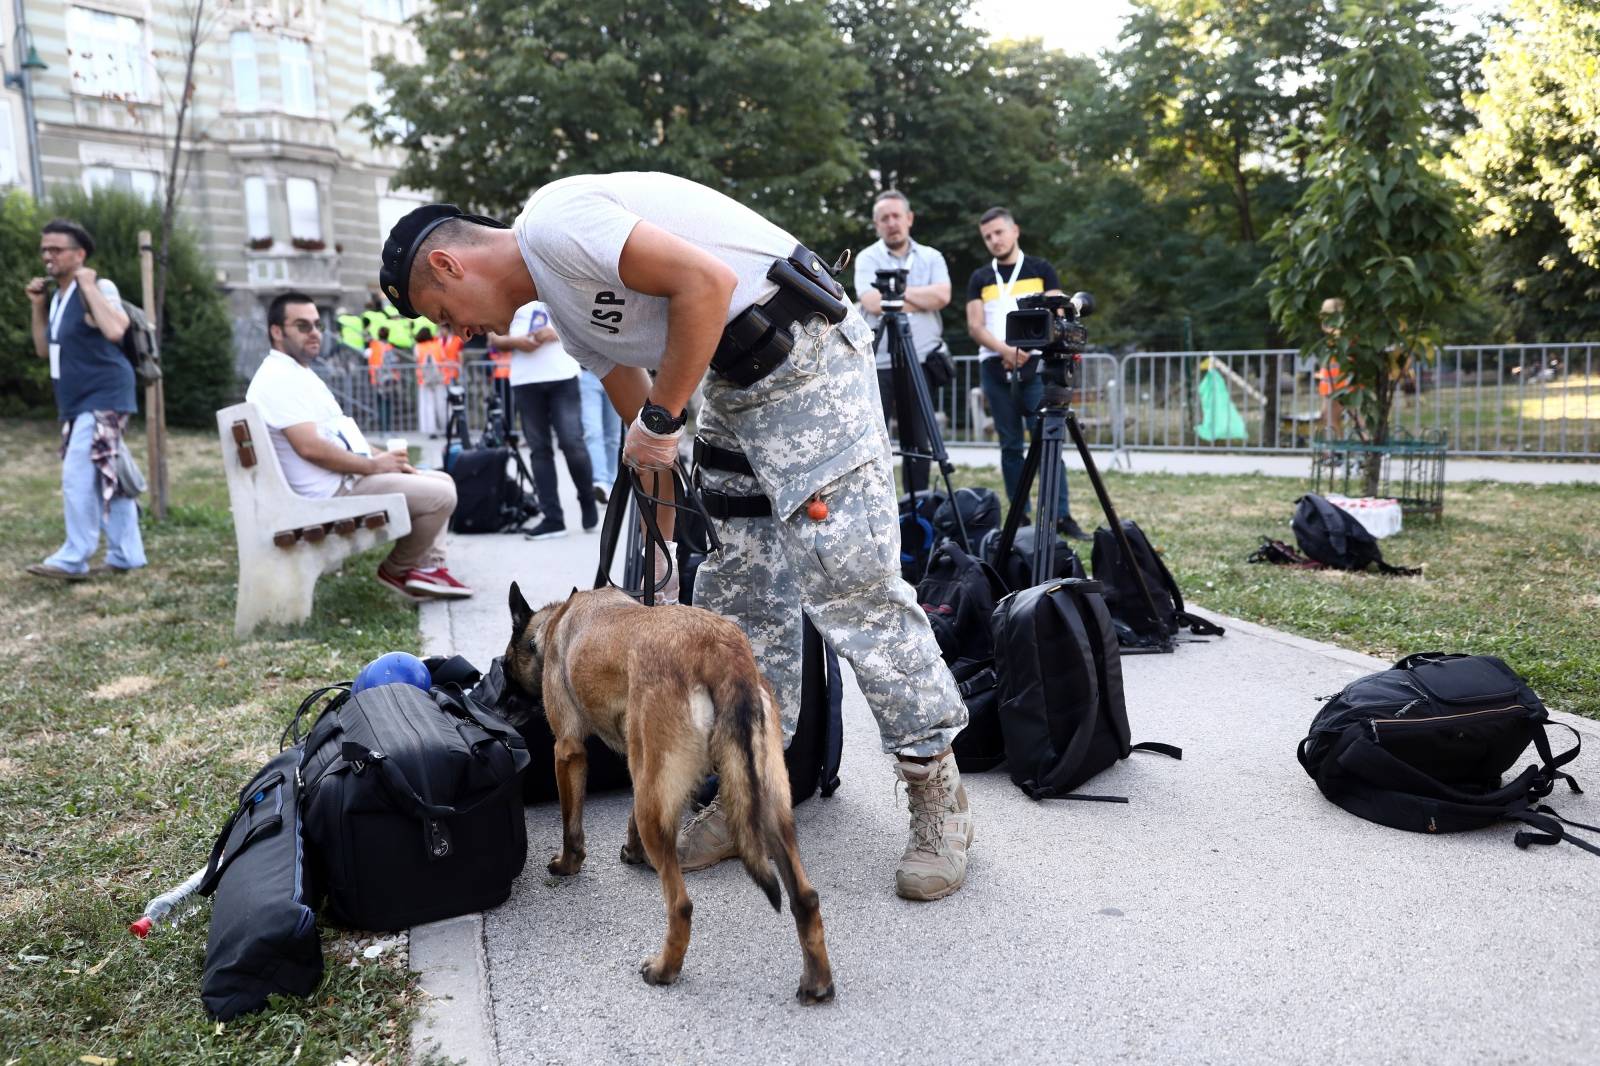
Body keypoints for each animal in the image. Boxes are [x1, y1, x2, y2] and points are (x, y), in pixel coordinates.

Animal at [505, 576, 838, 998]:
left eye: (504, 667)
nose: (501, 705)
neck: (558, 620)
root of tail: (721, 652)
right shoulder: (643, 769)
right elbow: (628, 814)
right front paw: (633, 852)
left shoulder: (569, 751)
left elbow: (571, 824)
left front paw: (568, 864)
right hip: (765, 803)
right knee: (805, 897)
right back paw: (817, 981)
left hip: (661, 800)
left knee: (680, 905)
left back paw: (665, 968)